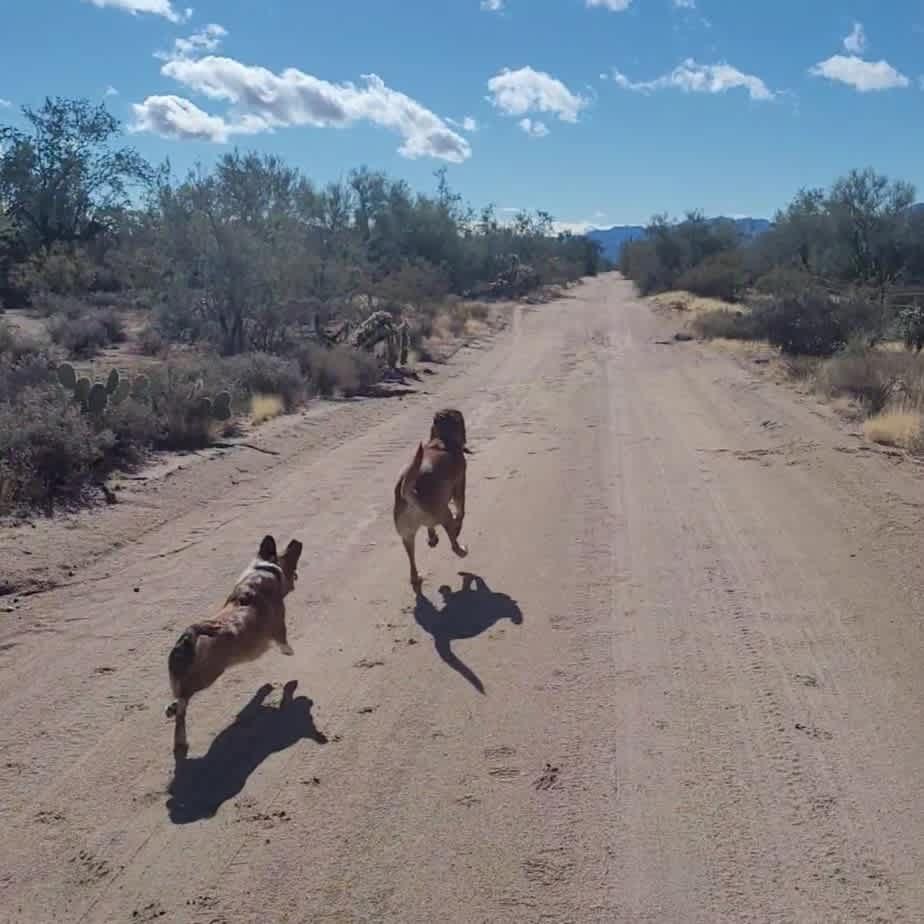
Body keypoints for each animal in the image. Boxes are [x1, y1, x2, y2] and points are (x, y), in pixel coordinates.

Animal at [165, 536, 304, 756]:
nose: (296, 543)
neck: (263, 572)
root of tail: (188, 637)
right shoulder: (279, 625)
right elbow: (283, 640)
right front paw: (288, 651)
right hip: (208, 675)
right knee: (183, 705)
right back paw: (180, 737)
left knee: (179, 696)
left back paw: (171, 708)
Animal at [394, 410, 472, 592]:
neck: (441, 441)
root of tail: (410, 492)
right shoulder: (459, 487)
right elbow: (461, 513)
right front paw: (457, 529)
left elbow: (431, 527)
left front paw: (432, 538)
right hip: (445, 513)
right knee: (453, 543)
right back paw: (461, 551)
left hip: (407, 536)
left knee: (412, 561)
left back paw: (416, 577)